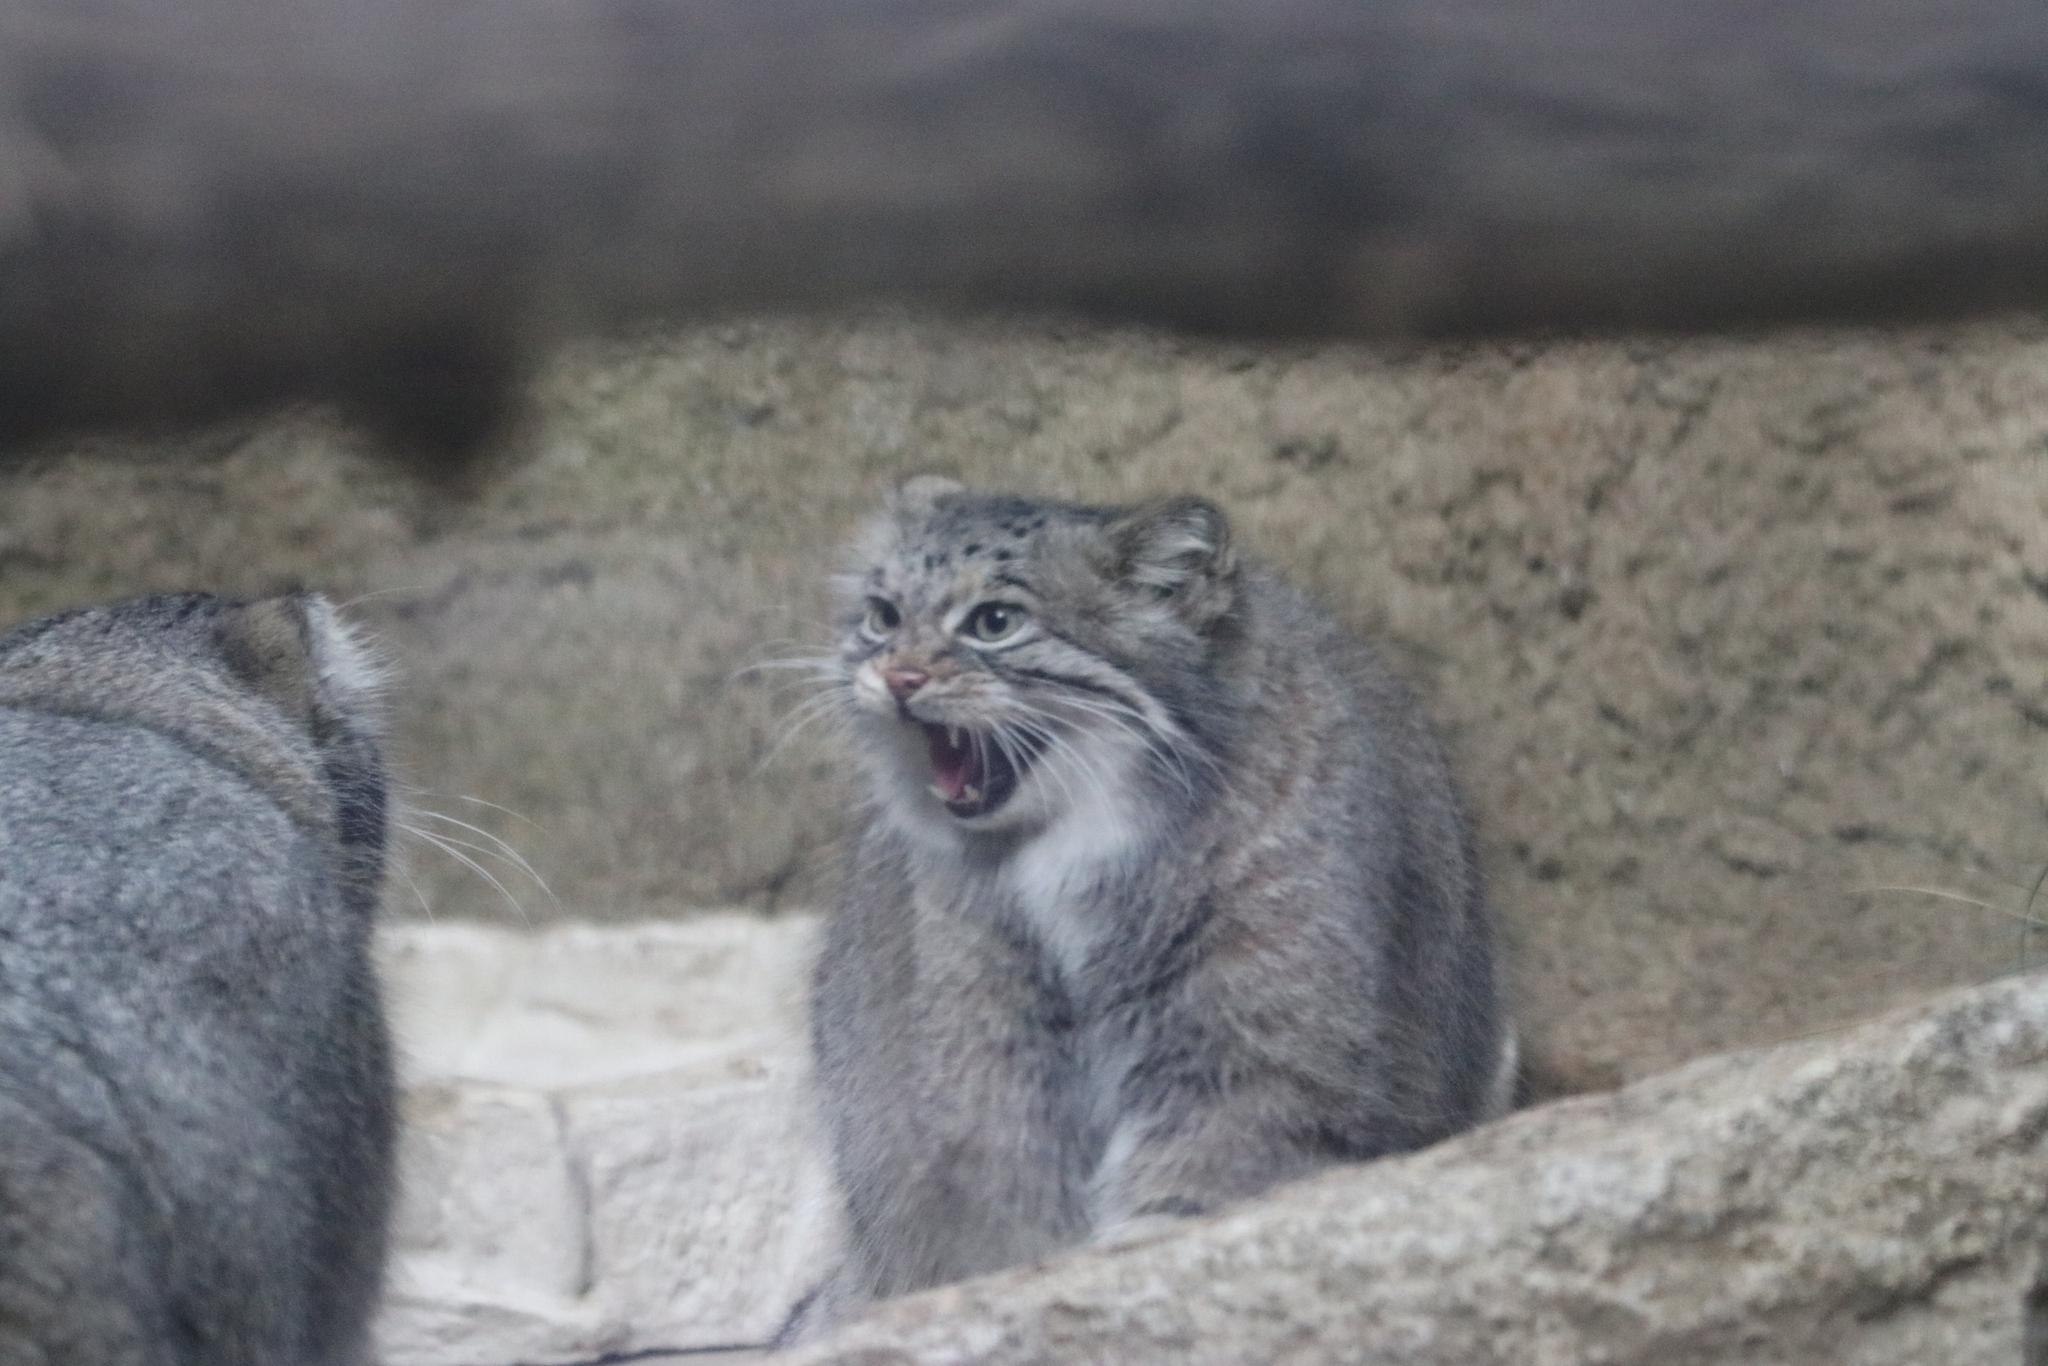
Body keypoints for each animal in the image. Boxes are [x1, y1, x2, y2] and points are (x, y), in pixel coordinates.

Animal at [790, 481, 1515, 1335]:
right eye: (883, 615)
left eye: (995, 622)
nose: (896, 677)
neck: (1067, 856)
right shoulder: (980, 1063)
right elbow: (1006, 1205)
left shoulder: (1259, 1046)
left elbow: (1199, 1195)